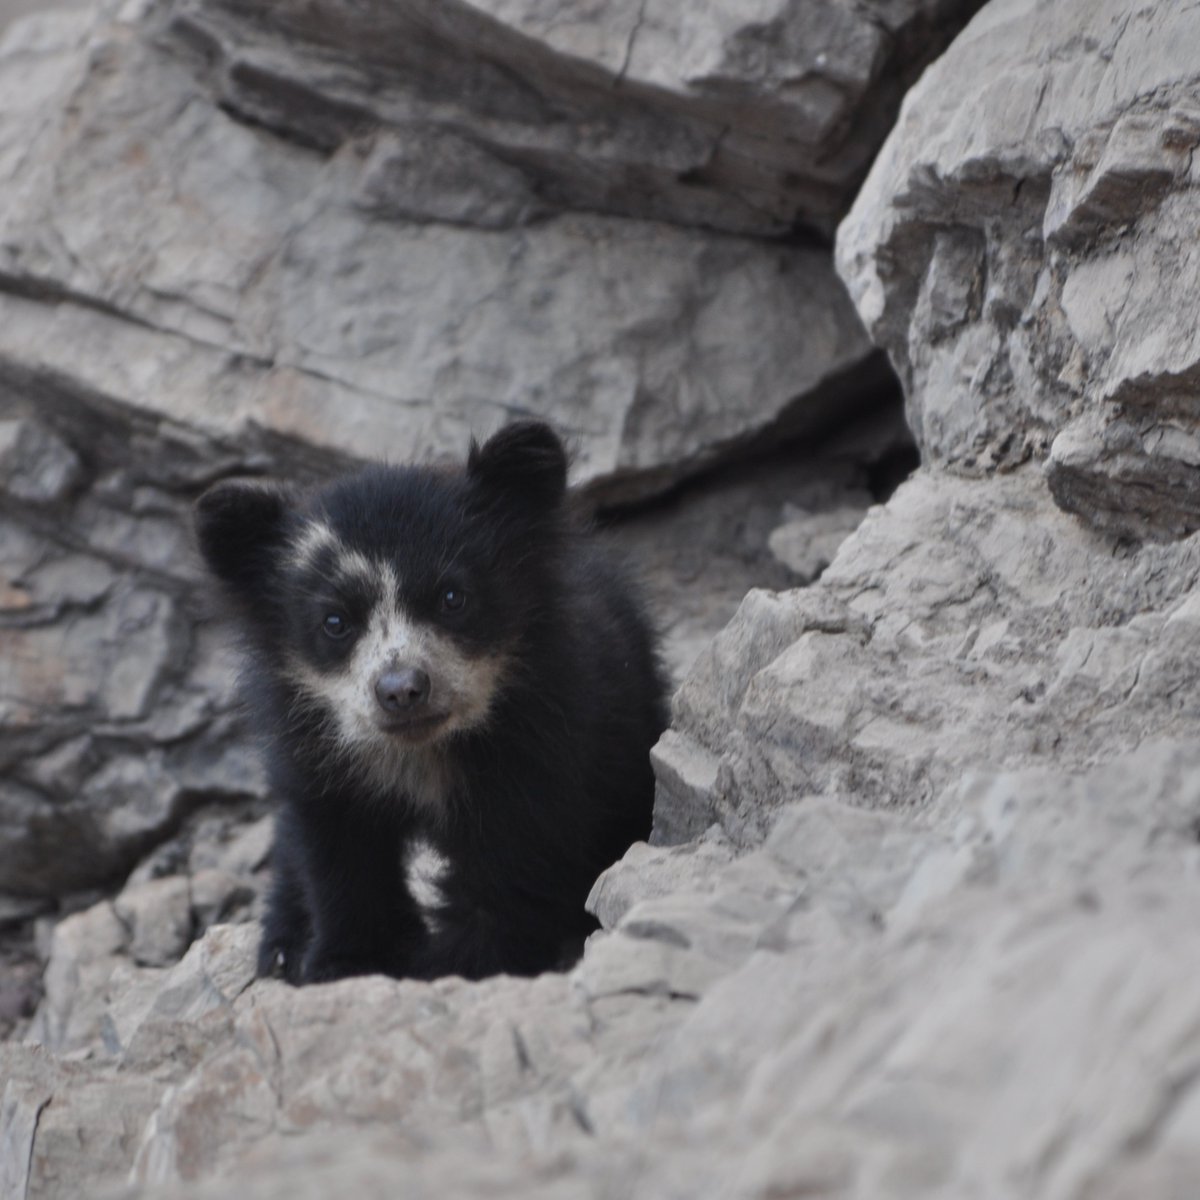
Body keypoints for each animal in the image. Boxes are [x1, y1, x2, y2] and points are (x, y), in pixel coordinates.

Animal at [194, 421, 668, 984]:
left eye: (451, 597)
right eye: (335, 621)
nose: (401, 690)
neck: (422, 752)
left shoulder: (541, 742)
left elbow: (508, 876)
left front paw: (444, 965)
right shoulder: (321, 758)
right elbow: (339, 854)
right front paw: (345, 961)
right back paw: (281, 945)